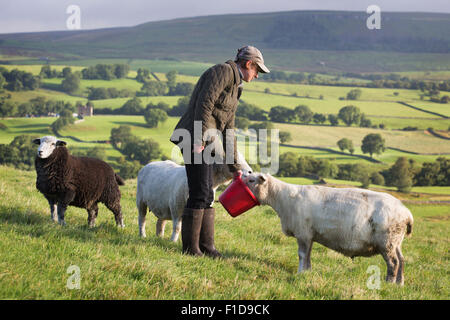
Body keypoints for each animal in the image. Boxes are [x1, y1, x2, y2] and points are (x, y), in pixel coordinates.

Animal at [244, 172, 414, 284]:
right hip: (396, 241)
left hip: (387, 241)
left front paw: (300, 273)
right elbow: (308, 255)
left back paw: (389, 283)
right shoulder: (310, 235)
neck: (282, 198)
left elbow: (302, 255)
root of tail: (406, 213)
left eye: (251, 180)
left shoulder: (303, 233)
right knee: (401, 260)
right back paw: (400, 283)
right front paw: (307, 272)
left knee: (393, 263)